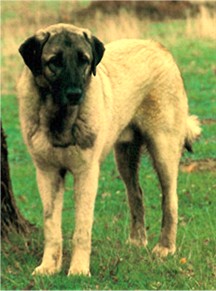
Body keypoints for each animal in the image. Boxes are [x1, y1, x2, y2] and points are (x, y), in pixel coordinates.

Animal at [16, 24, 201, 278]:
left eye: (84, 60)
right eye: (54, 61)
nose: (75, 94)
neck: (60, 118)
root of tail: (158, 47)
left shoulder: (86, 174)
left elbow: (82, 229)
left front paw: (79, 270)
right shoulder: (47, 173)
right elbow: (51, 226)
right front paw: (48, 267)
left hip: (163, 149)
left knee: (170, 199)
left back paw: (165, 247)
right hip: (124, 157)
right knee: (136, 194)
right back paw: (137, 242)